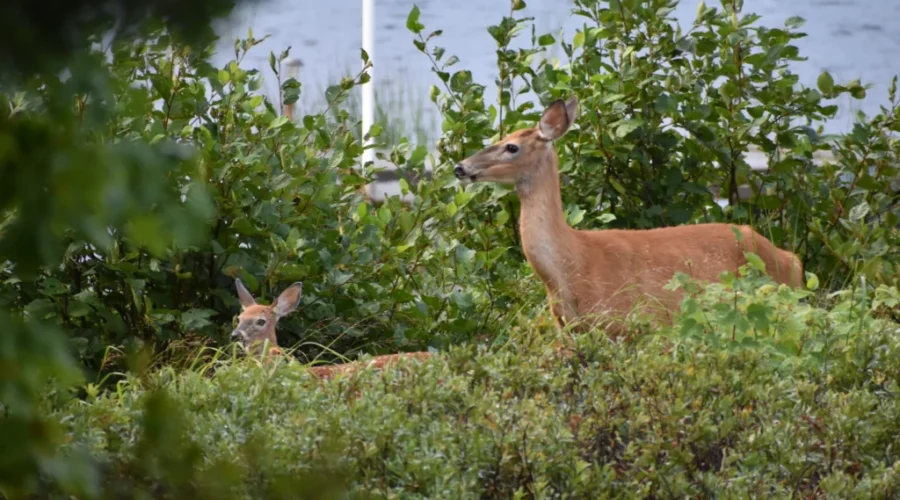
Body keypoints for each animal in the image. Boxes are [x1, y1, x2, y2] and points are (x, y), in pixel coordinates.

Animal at [452, 96, 804, 336]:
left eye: (511, 147)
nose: (460, 167)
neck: (570, 264)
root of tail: (794, 260)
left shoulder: (634, 322)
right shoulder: (567, 328)